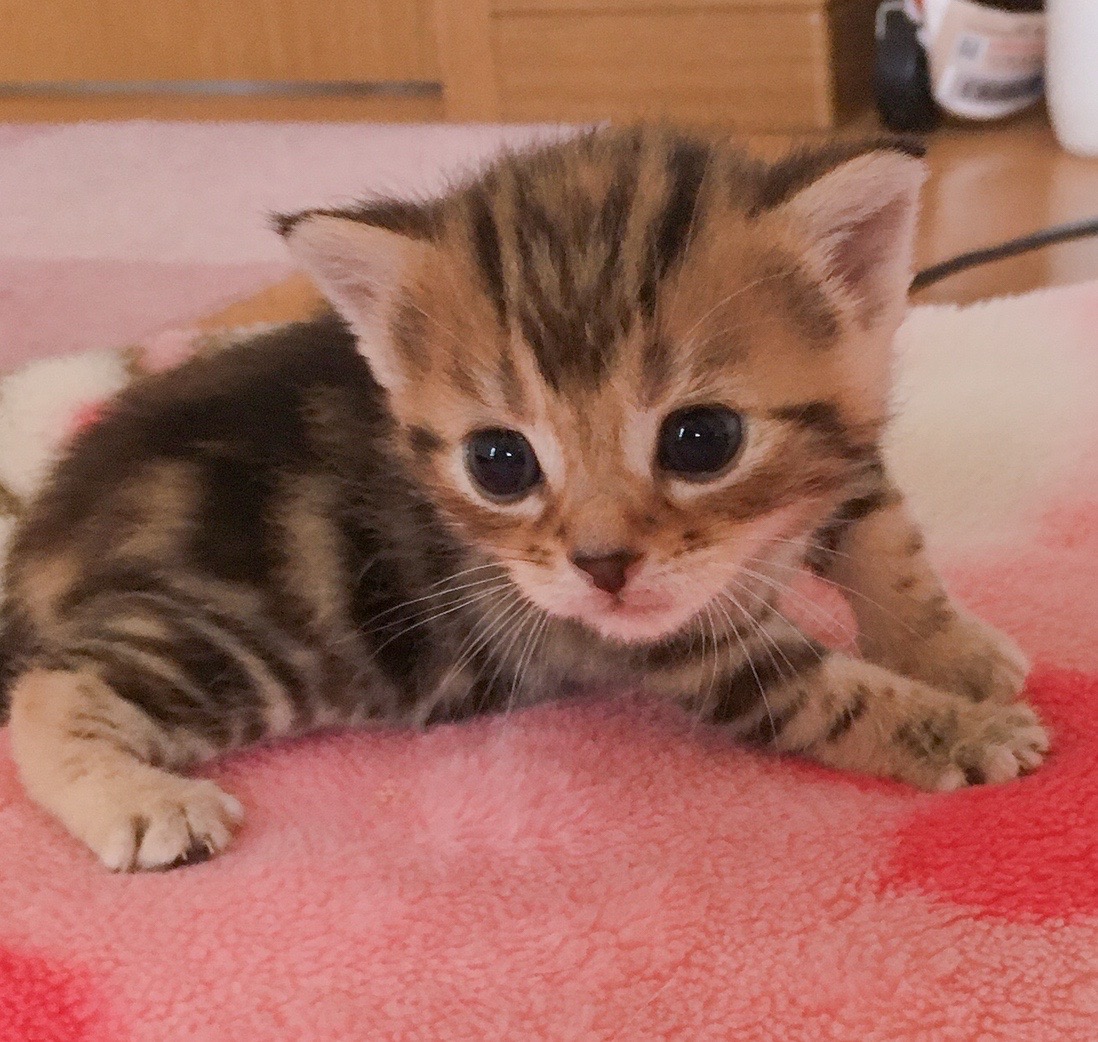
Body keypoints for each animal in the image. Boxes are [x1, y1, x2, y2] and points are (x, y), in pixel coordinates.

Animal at [0, 126, 1045, 869]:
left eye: (702, 439)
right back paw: (146, 803)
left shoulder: (840, 455)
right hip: (247, 637)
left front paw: (952, 651)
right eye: (499, 461)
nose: (602, 564)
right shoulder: (669, 639)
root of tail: (48, 527)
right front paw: (958, 728)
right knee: (50, 689)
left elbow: (885, 538)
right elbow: (817, 689)